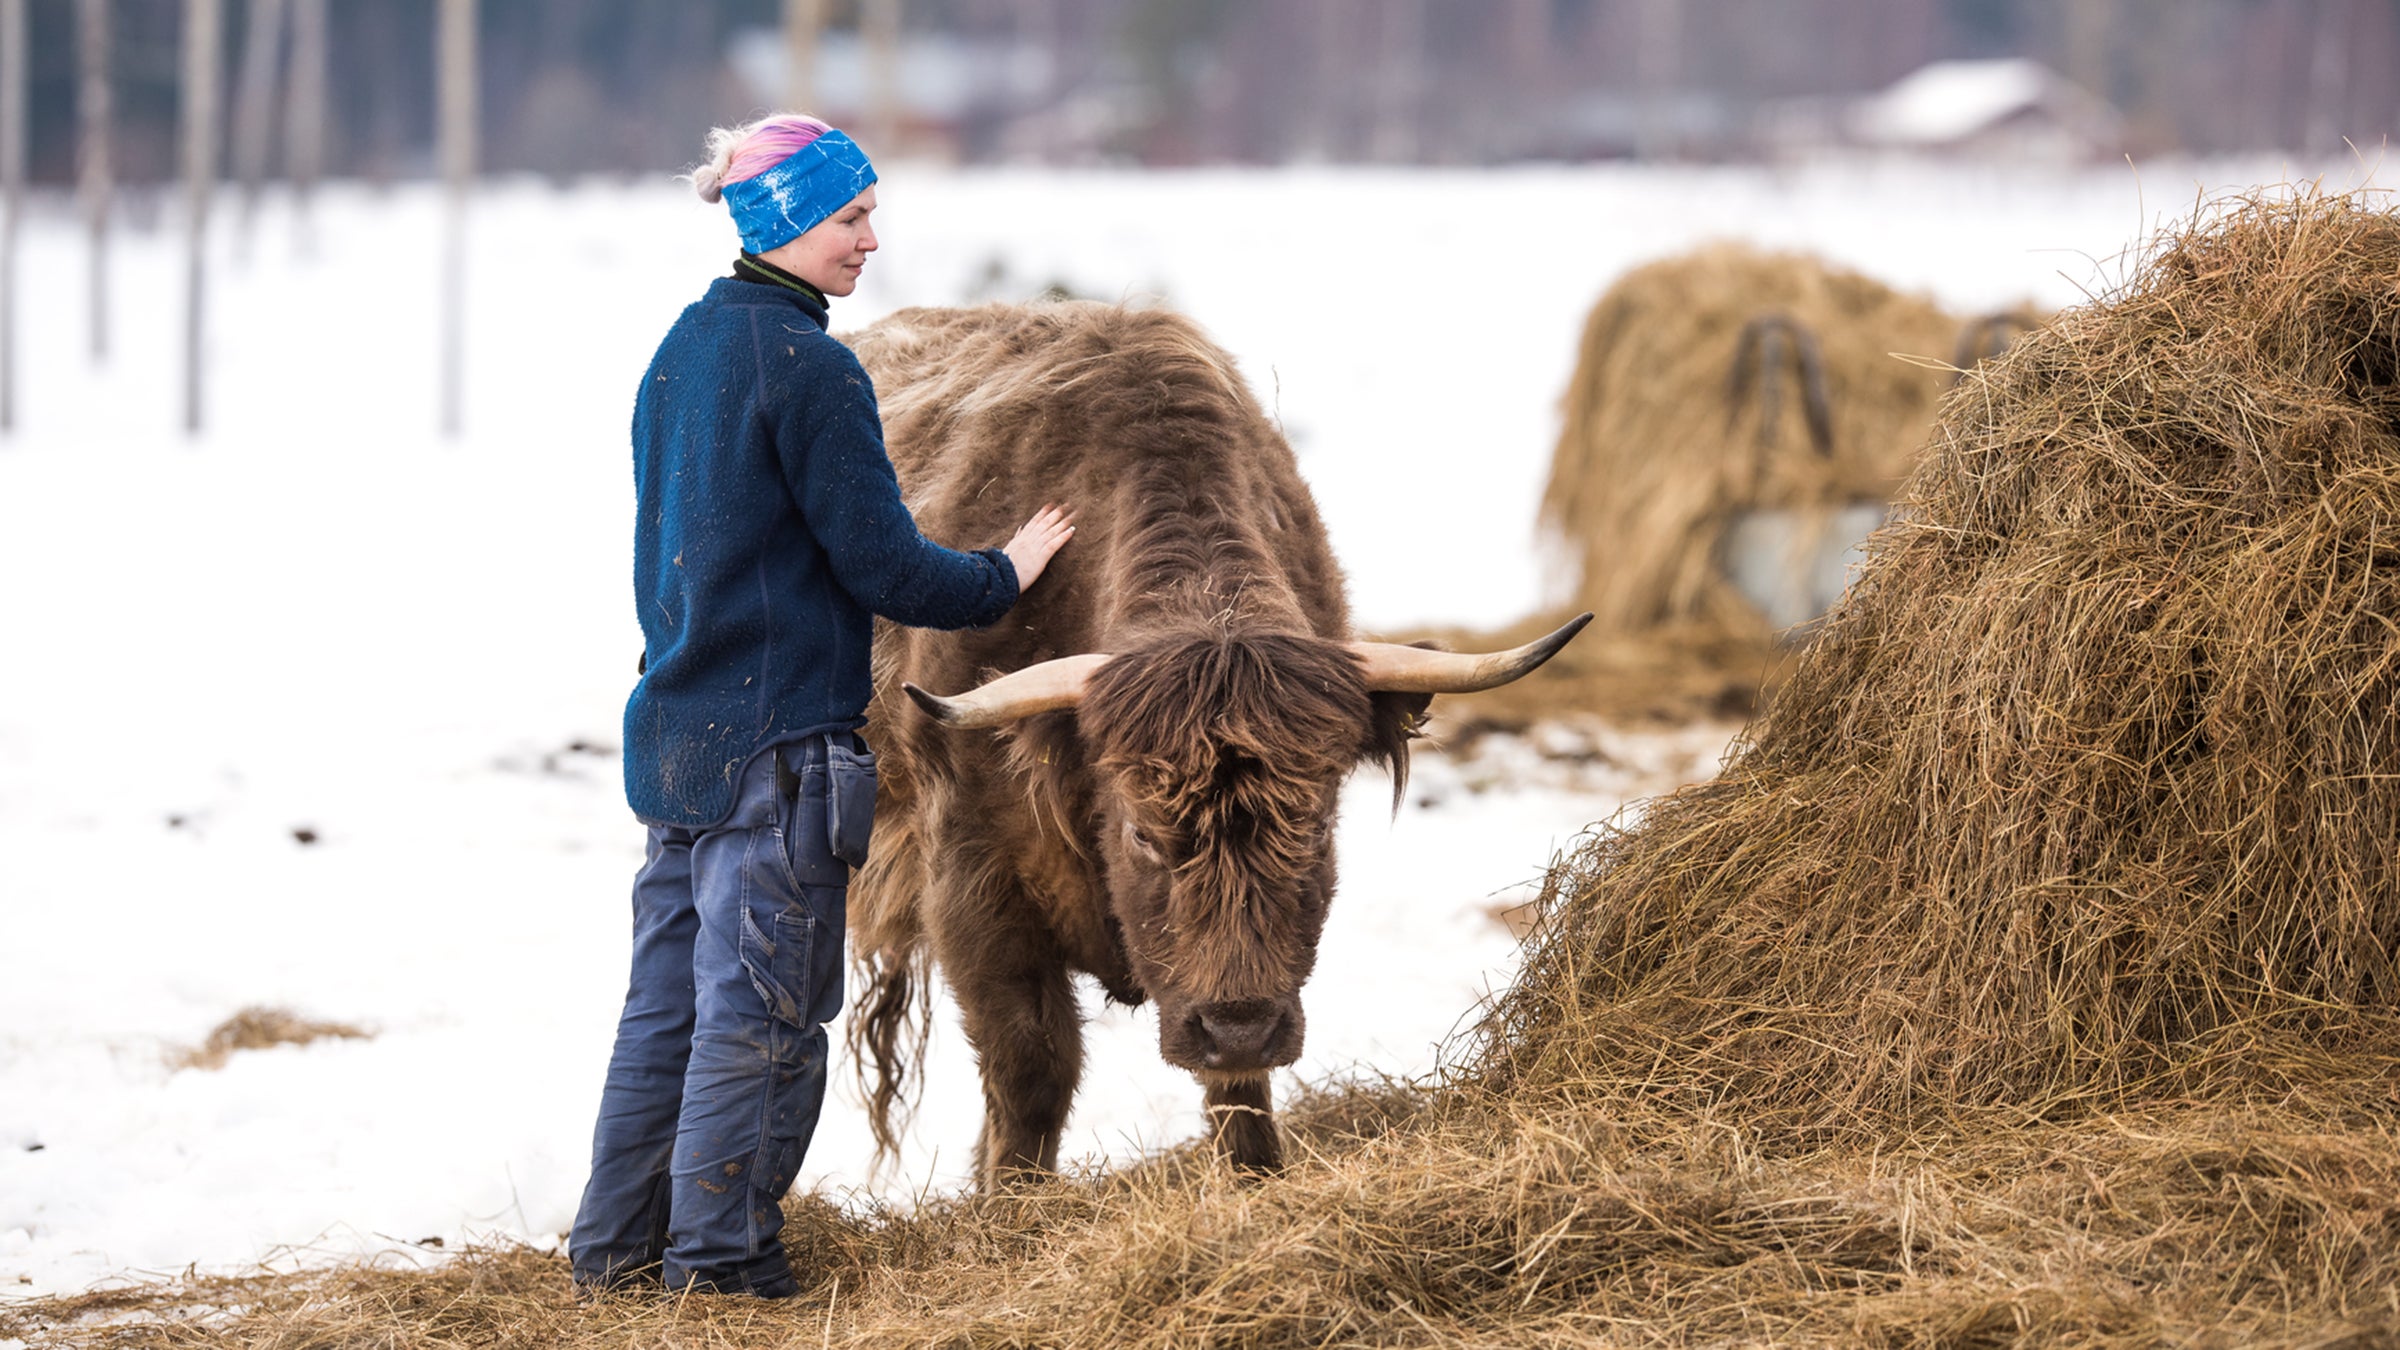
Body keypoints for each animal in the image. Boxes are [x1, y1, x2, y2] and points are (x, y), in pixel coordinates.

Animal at [840, 300, 1589, 1184]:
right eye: (1141, 832)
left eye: (1316, 825)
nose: (1237, 1026)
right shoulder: (971, 874)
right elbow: (1030, 1065)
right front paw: (1011, 1204)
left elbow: (1239, 1094)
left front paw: (1256, 1175)